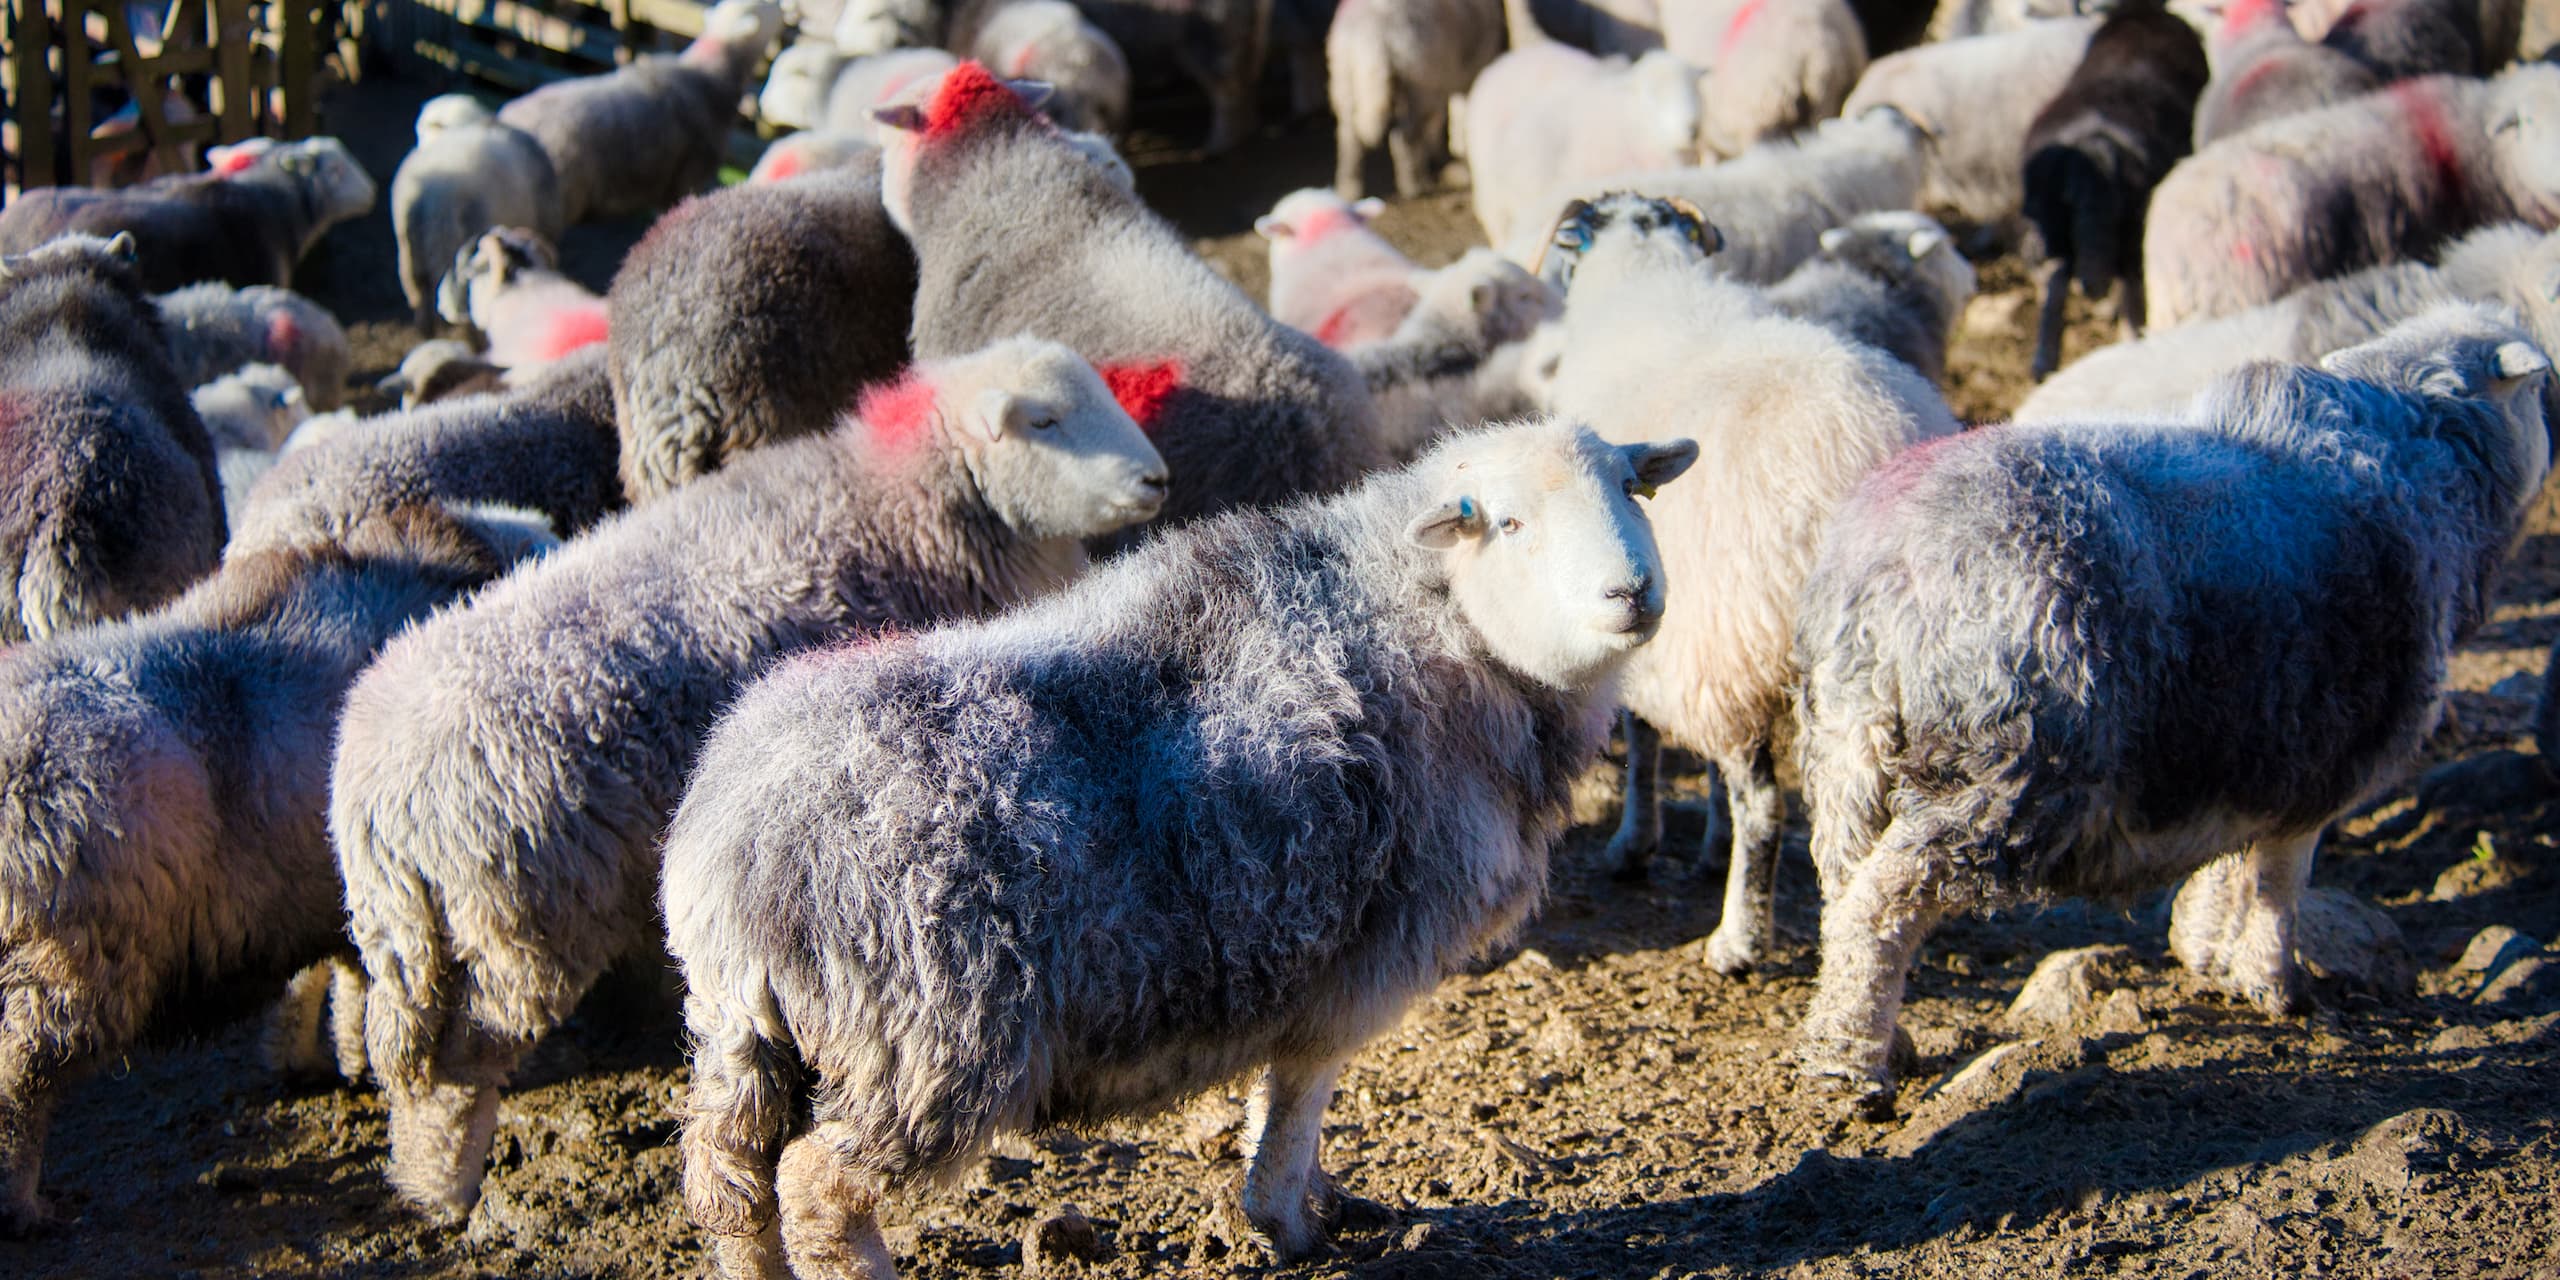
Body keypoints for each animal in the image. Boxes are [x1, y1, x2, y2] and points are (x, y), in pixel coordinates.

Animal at [0, 500, 553, 1235]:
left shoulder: (339, 896)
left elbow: (341, 985)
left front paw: (338, 1060)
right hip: (61, 981)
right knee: (19, 1091)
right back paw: (24, 1205)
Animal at [333, 338, 1167, 1222]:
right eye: (1043, 421)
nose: (1157, 480)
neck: (902, 503)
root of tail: (370, 799)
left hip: (426, 934)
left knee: (407, 1060)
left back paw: (414, 1171)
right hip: (521, 925)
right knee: (459, 1065)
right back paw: (448, 1187)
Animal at [663, 418, 1699, 1280]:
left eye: (1633, 489)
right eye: (1510, 523)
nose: (1634, 592)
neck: (1432, 621)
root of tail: (733, 846)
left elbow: (1279, 1105)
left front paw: (1316, 1201)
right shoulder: (1361, 965)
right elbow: (1299, 1096)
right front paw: (1286, 1221)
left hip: (747, 1039)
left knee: (729, 1185)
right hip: (928, 1040)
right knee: (820, 1193)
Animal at [1327, 0, 1507, 199]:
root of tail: (1371, 36)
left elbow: (1439, 121)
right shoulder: (1469, 73)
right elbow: (1458, 117)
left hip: (1345, 80)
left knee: (1349, 139)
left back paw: (1349, 189)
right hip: (1416, 81)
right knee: (1404, 136)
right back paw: (1412, 185)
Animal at [1792, 304, 2552, 1111]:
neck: (2428, 474)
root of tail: (1887, 566)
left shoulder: (2250, 756)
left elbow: (2230, 867)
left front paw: (2210, 953)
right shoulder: (2320, 764)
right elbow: (2280, 884)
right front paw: (2275, 984)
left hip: (1848, 757)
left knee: (1843, 895)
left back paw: (1879, 1036)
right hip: (2008, 767)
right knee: (1884, 903)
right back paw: (1847, 1069)